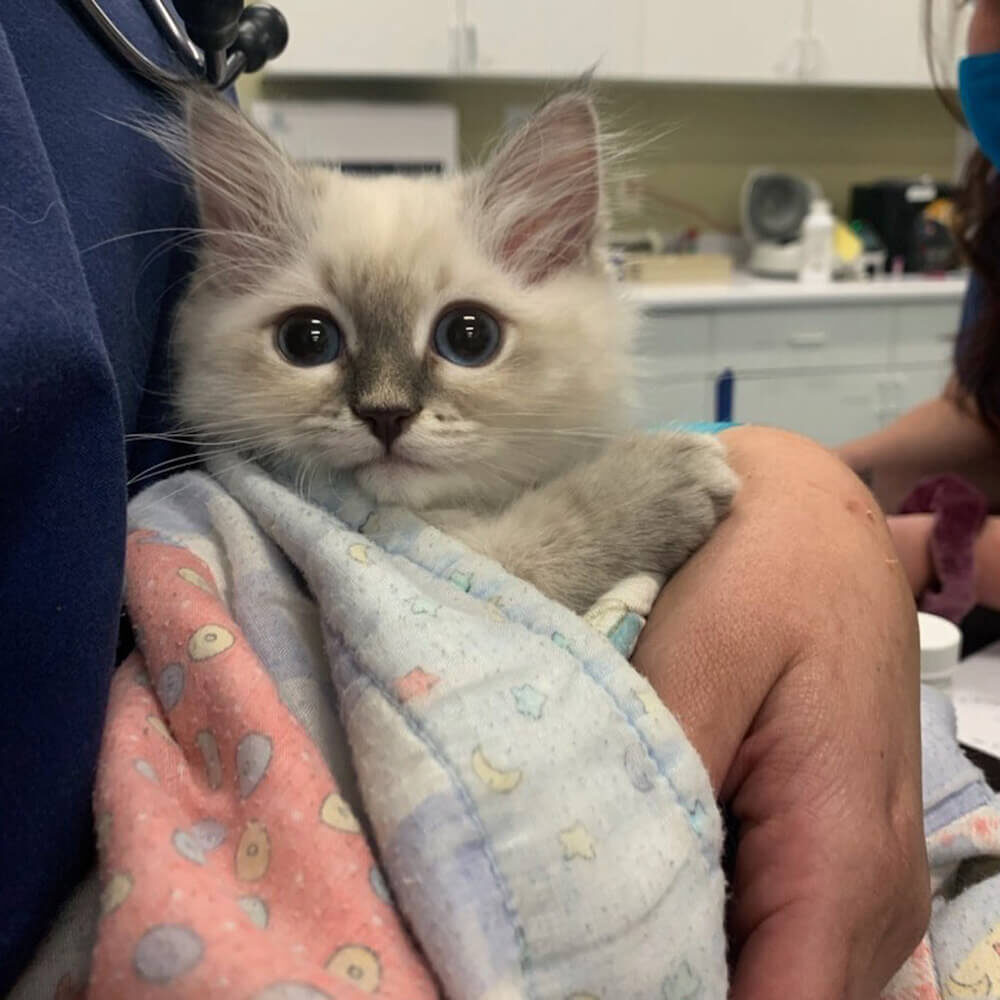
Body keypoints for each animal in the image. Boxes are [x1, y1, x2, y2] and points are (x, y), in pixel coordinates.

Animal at [168, 90, 740, 612]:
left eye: (470, 337)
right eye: (308, 341)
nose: (386, 414)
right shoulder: (469, 563)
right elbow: (550, 534)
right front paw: (668, 478)